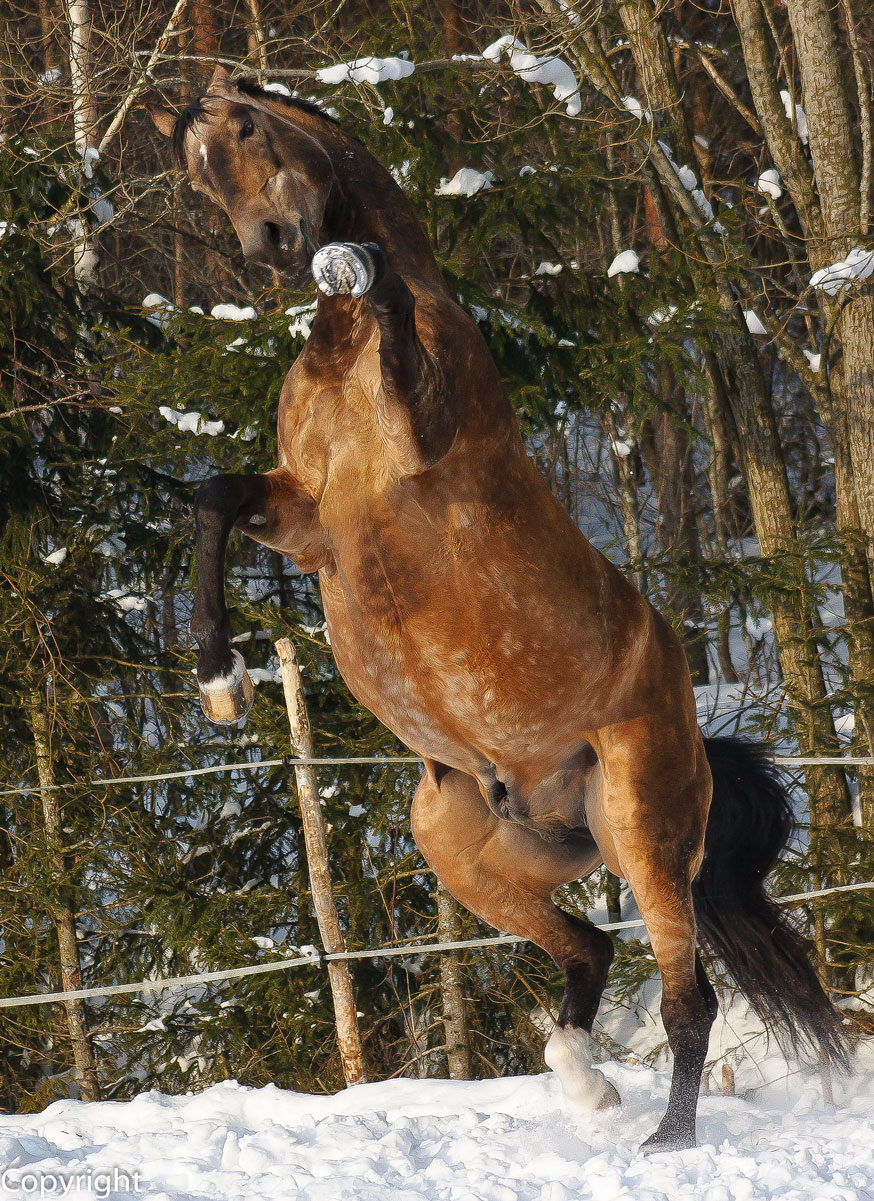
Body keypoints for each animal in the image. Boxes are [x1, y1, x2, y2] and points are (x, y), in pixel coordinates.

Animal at [148, 65, 846, 1152]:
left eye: (250, 128)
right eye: (195, 174)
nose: (271, 241)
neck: (343, 358)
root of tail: (691, 739)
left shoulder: (415, 447)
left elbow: (388, 311)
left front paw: (358, 263)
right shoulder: (309, 522)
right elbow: (215, 499)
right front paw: (222, 681)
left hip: (642, 827)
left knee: (686, 997)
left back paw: (665, 1140)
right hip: (465, 844)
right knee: (592, 948)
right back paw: (587, 1086)